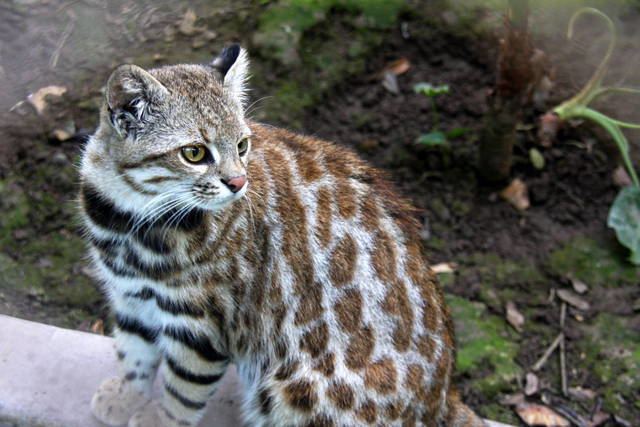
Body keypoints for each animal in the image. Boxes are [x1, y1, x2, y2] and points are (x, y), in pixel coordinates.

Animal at [80, 44, 484, 427]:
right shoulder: (130, 297)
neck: (131, 220)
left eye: (242, 145)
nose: (238, 182)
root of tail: (445, 399)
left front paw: (160, 418)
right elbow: (134, 353)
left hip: (293, 389)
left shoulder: (201, 325)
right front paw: (127, 395)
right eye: (193, 153)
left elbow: (181, 391)